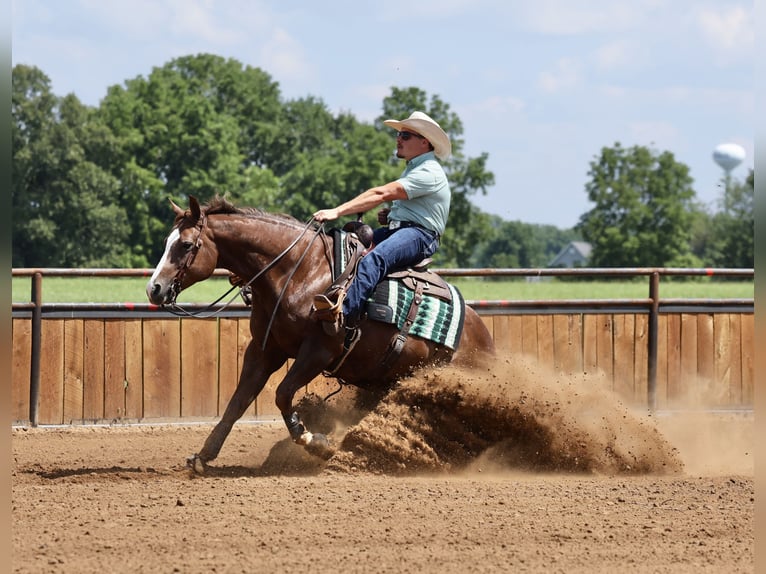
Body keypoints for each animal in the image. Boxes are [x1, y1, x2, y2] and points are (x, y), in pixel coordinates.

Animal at [146, 195, 495, 472]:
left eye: (186, 245)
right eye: (166, 242)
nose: (154, 289)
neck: (298, 271)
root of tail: (483, 335)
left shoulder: (318, 351)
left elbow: (282, 394)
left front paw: (316, 441)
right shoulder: (264, 349)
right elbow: (239, 401)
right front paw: (204, 456)